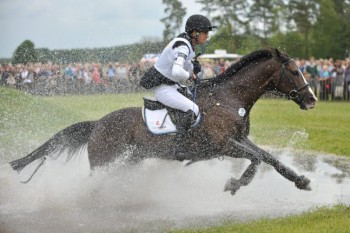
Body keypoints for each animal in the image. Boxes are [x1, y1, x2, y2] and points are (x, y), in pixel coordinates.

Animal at [10, 48, 318, 194]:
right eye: (294, 71)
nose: (312, 99)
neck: (229, 99)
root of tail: (97, 124)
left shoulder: (240, 140)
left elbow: (269, 158)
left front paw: (301, 180)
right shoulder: (223, 145)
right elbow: (256, 159)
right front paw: (234, 184)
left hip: (127, 162)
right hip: (105, 163)